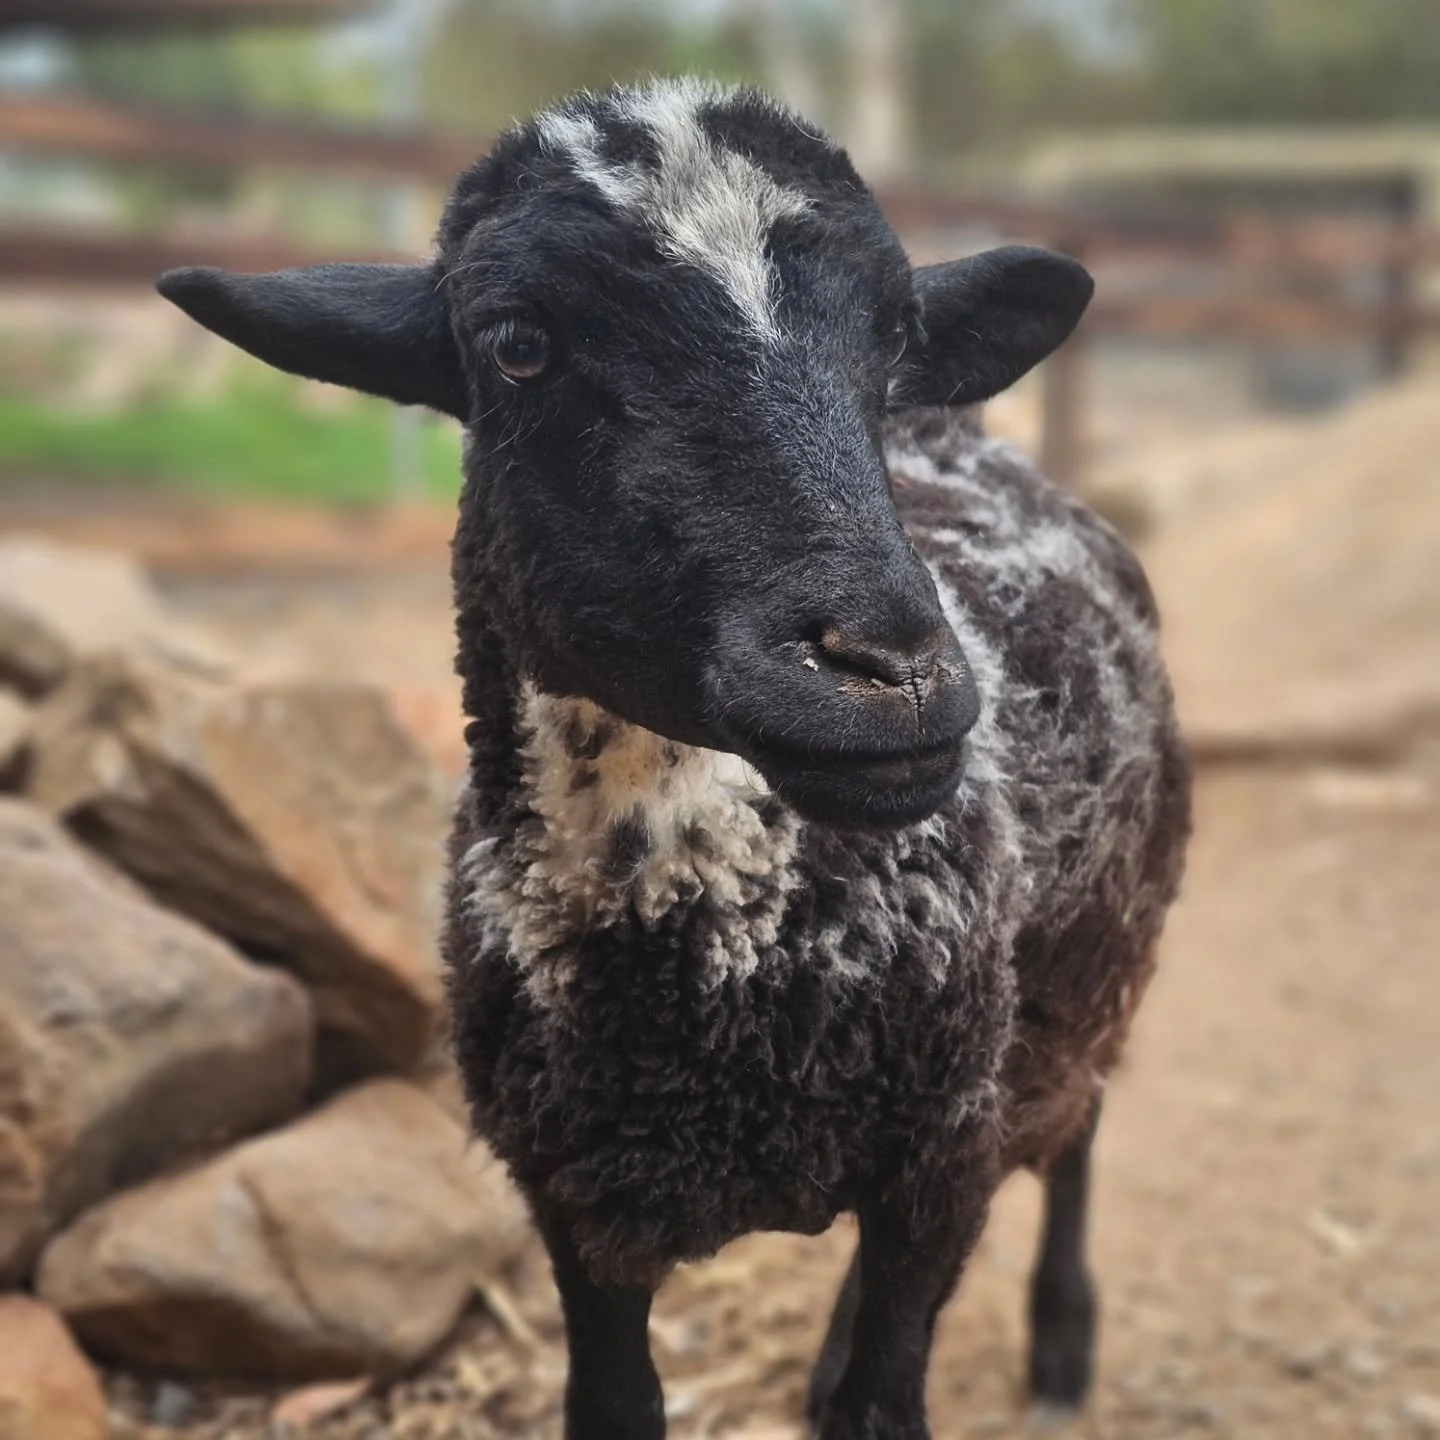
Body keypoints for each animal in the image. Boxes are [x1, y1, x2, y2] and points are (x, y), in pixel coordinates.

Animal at [157, 78, 1191, 1440]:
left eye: (894, 340)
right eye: (518, 345)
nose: (893, 675)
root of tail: (979, 442)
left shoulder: (942, 1156)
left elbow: (888, 1396)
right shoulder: (574, 1201)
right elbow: (620, 1402)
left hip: (1090, 975)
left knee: (1079, 1124)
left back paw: (1062, 1339)